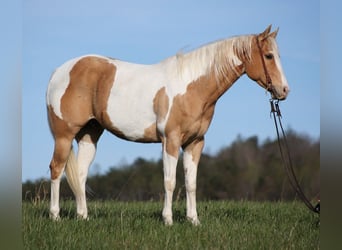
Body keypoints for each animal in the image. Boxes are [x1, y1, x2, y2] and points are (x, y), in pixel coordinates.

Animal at [46, 25, 288, 225]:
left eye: (278, 55)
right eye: (268, 56)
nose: (284, 90)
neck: (191, 87)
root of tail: (59, 72)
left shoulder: (195, 143)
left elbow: (191, 183)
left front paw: (193, 220)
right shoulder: (170, 140)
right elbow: (169, 181)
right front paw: (168, 220)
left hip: (89, 135)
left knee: (81, 174)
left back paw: (83, 217)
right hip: (64, 135)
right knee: (56, 169)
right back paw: (55, 216)